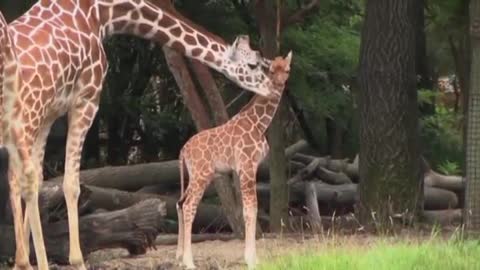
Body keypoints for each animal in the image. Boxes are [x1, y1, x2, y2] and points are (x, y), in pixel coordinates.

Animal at [3, 1, 274, 268]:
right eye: (254, 64)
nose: (270, 89)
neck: (104, 14)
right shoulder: (85, 99)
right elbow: (69, 183)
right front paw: (75, 260)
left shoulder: (51, 112)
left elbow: (39, 181)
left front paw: (23, 261)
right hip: (26, 117)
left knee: (19, 179)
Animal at [174, 51, 290, 268]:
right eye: (271, 70)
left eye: (287, 70)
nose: (278, 84)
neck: (260, 125)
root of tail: (183, 150)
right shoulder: (247, 166)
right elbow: (250, 210)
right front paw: (251, 260)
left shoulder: (245, 168)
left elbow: (249, 209)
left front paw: (253, 258)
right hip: (201, 175)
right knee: (188, 206)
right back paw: (189, 262)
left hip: (194, 176)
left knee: (179, 203)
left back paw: (179, 258)